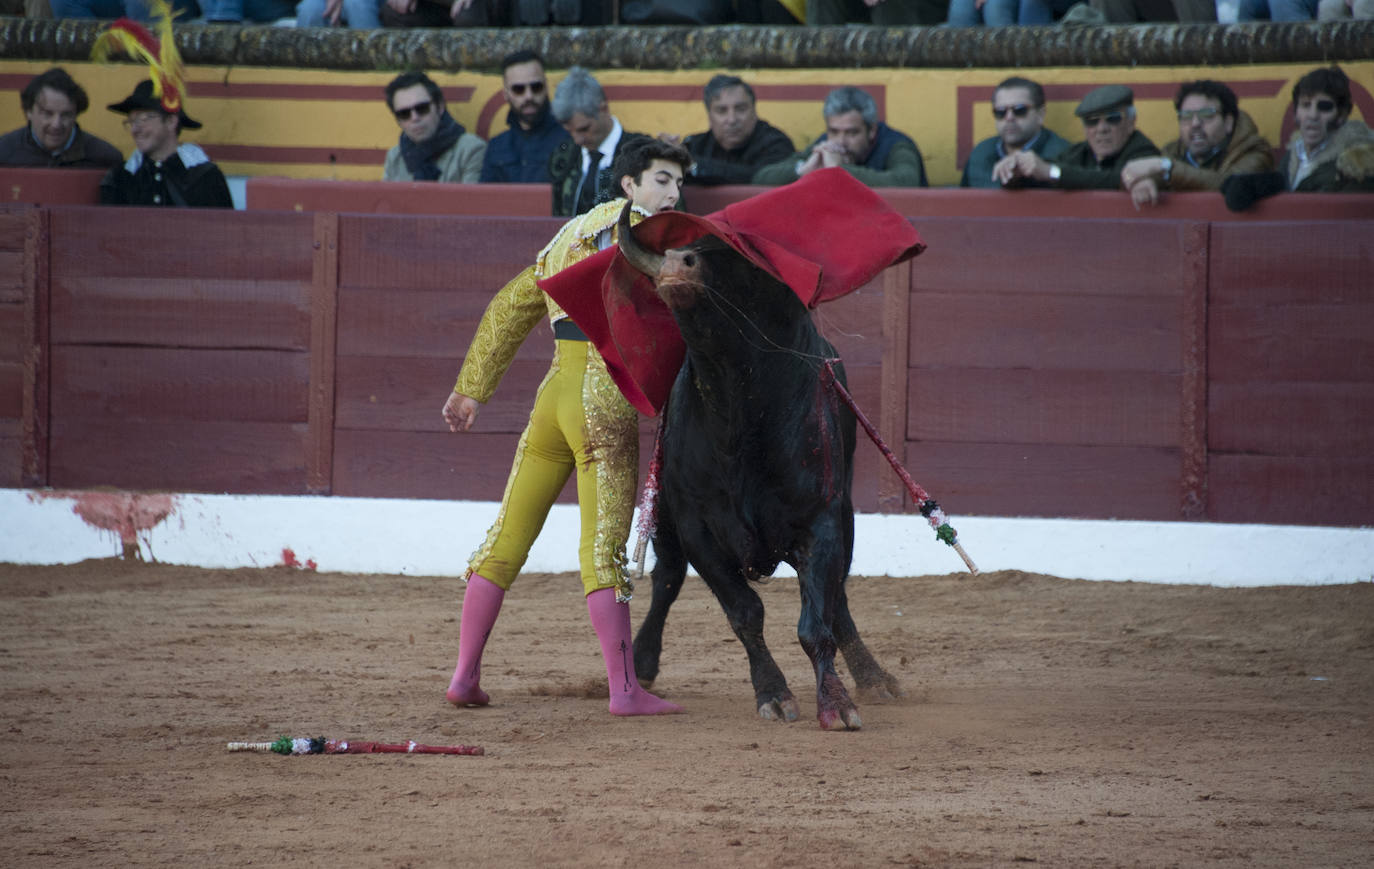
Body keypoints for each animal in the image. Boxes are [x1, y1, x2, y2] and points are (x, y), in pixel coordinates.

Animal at [621, 207, 901, 731]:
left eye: (740, 262)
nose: (675, 262)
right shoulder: (698, 529)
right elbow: (744, 612)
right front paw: (773, 693)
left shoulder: (822, 521)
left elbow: (816, 623)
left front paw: (836, 703)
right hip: (665, 515)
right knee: (667, 576)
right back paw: (642, 664)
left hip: (844, 518)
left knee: (838, 598)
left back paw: (875, 678)